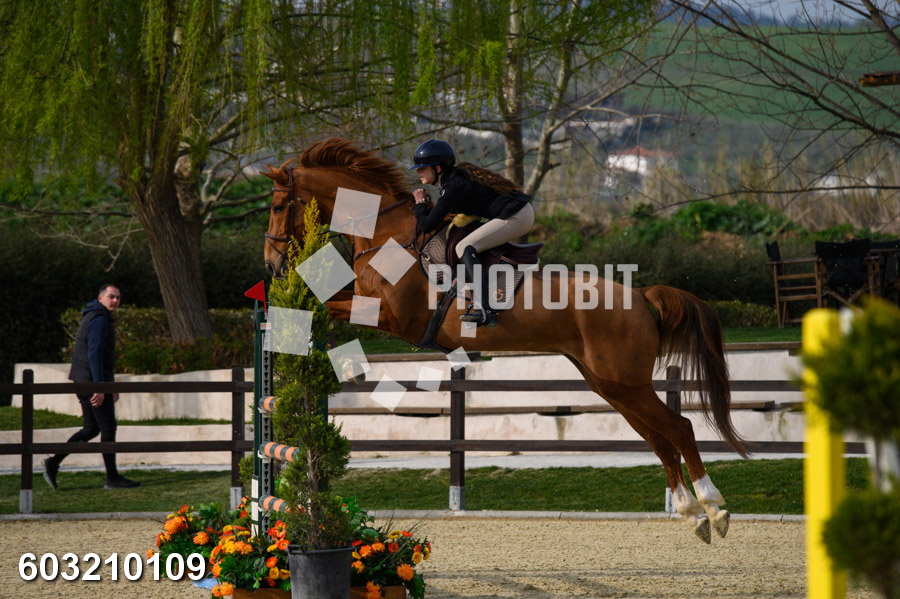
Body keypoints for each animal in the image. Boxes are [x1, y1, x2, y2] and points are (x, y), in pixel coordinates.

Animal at [262, 137, 748, 544]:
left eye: (280, 204)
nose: (271, 265)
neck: (387, 235)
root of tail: (641, 295)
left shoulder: (392, 316)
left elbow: (330, 304)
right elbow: (325, 302)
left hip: (625, 382)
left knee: (679, 429)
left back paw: (715, 509)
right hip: (612, 385)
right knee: (659, 440)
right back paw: (693, 516)